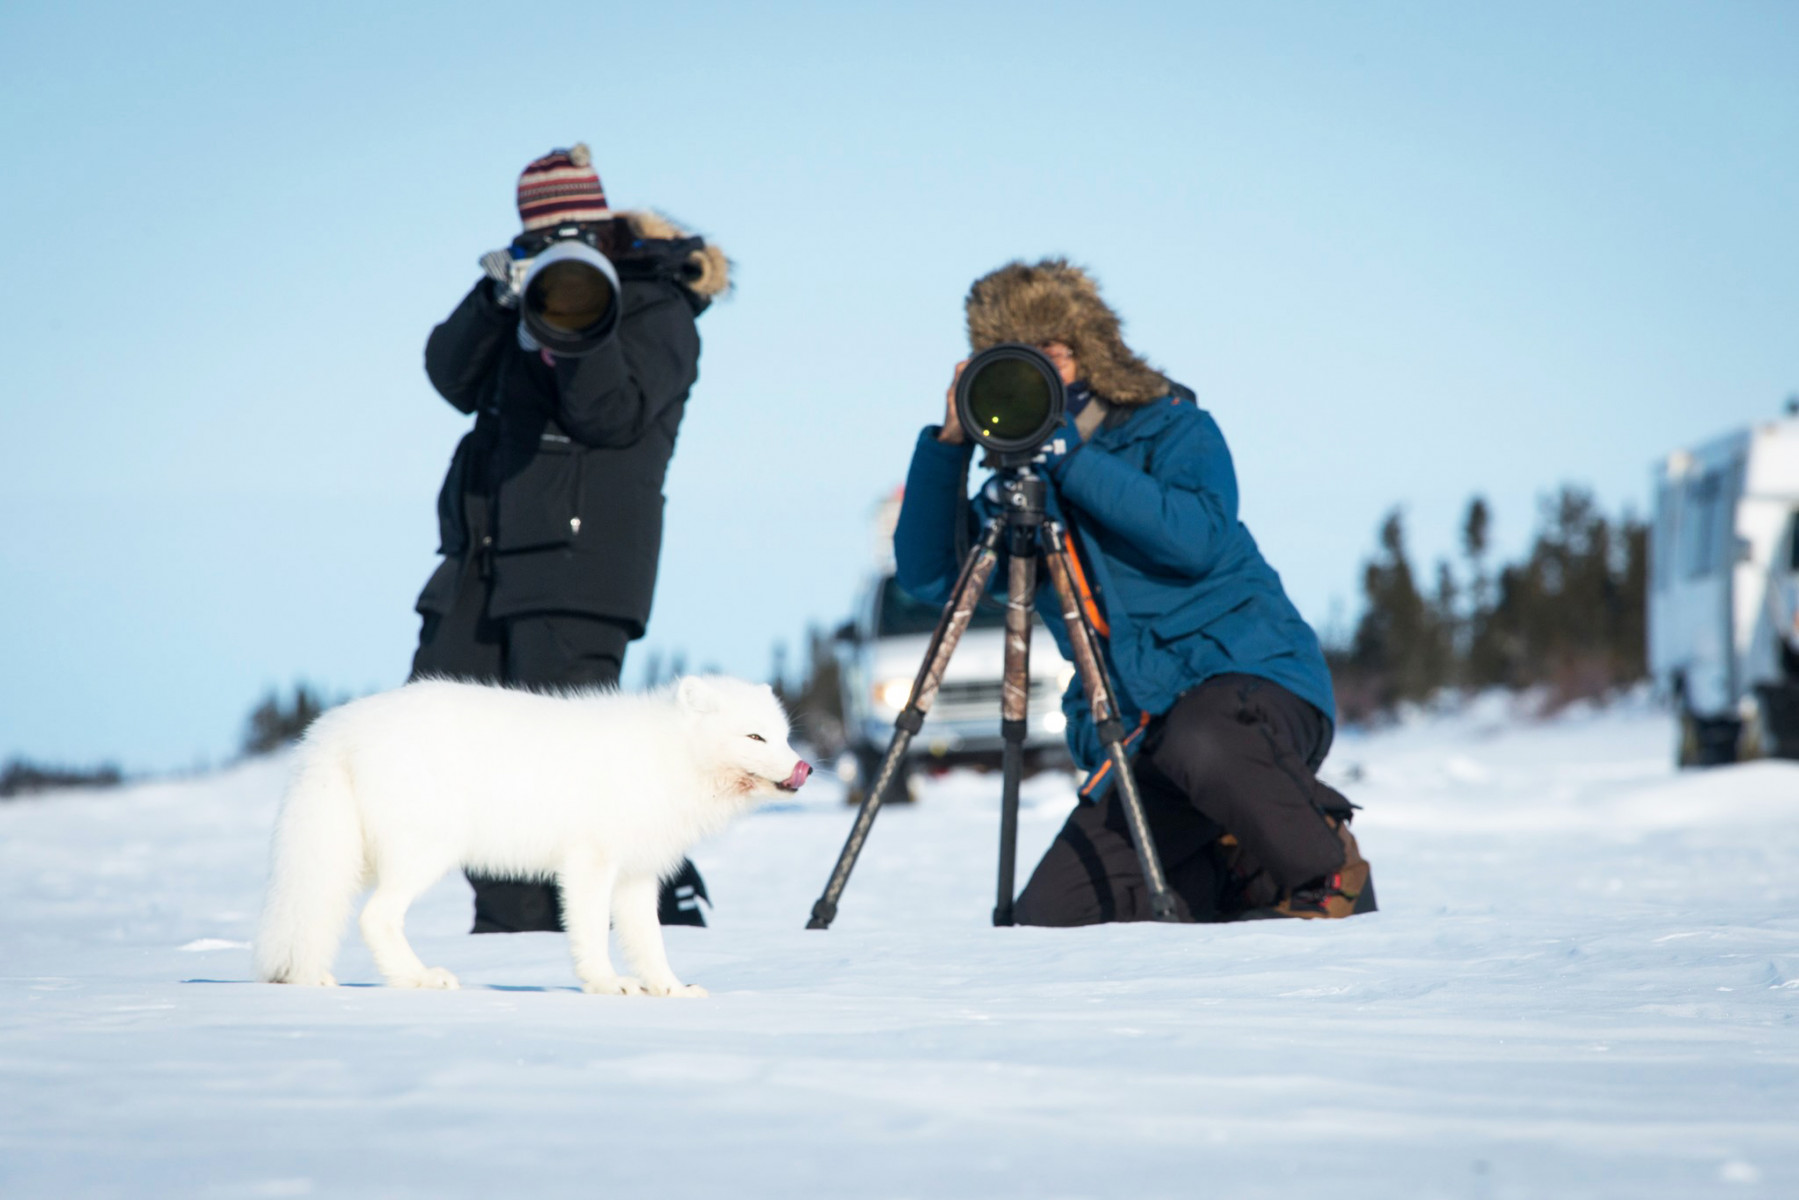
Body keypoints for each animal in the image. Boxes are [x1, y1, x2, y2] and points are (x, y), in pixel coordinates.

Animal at [251, 676, 809, 993]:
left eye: (782, 737)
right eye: (754, 737)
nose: (802, 767)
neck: (667, 757)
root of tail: (336, 728)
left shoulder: (637, 876)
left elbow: (650, 943)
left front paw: (669, 989)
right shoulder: (589, 864)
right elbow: (591, 933)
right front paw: (606, 984)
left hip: (353, 862)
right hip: (424, 855)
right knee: (375, 918)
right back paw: (418, 979)